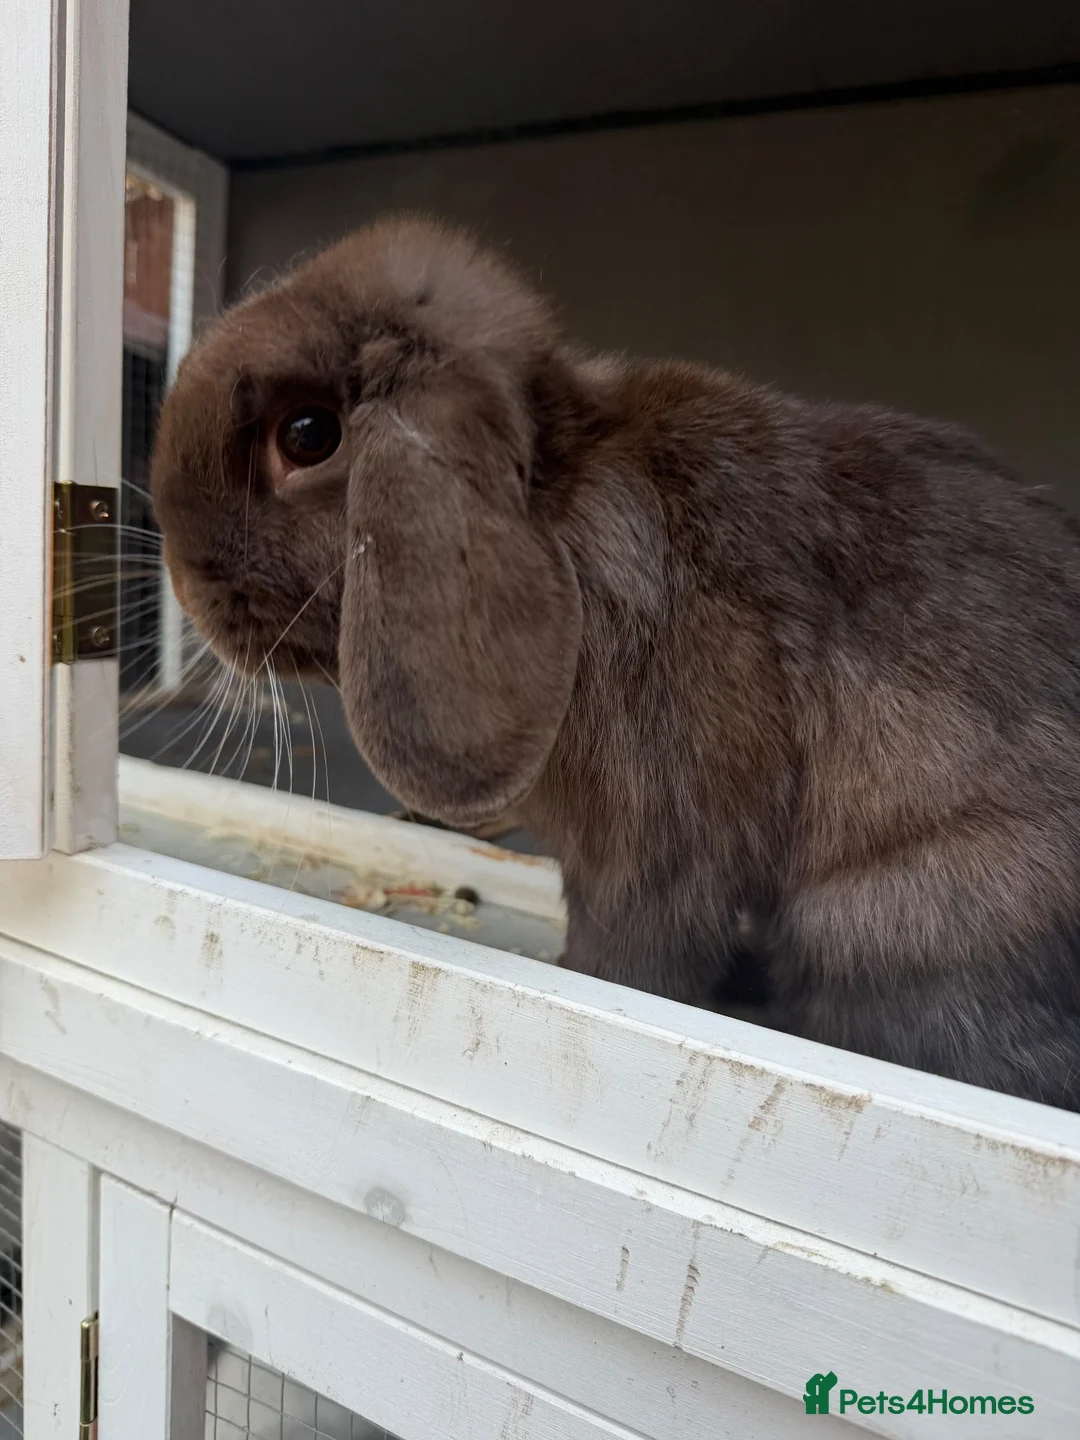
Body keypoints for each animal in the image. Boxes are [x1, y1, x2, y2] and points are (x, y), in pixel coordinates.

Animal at [152, 214, 1080, 1111]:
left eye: (307, 435)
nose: (186, 582)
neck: (560, 505)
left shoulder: (653, 832)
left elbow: (635, 946)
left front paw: (580, 982)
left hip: (887, 919)